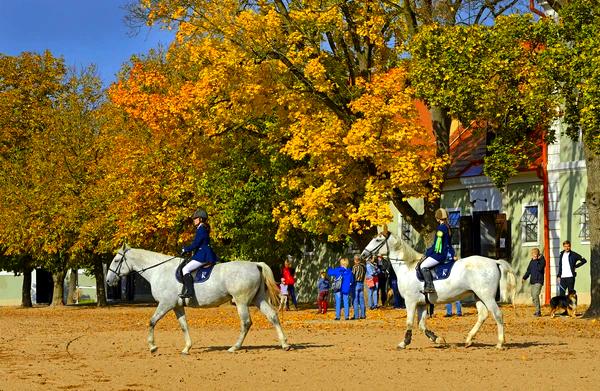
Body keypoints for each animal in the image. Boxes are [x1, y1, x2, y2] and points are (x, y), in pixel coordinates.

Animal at [106, 247, 290, 356]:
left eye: (116, 260)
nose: (108, 281)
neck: (160, 270)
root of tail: (255, 264)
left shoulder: (165, 304)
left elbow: (152, 321)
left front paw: (152, 346)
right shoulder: (177, 306)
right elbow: (184, 326)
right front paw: (187, 348)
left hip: (241, 302)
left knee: (246, 323)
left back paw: (234, 347)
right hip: (258, 300)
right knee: (273, 316)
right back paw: (284, 344)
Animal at [360, 233, 516, 350]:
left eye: (378, 240)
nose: (362, 255)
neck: (407, 267)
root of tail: (494, 262)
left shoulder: (410, 302)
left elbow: (409, 322)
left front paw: (404, 343)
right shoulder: (422, 304)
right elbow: (421, 325)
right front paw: (438, 339)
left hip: (487, 296)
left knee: (498, 315)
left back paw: (500, 343)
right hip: (478, 296)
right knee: (483, 315)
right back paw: (468, 339)